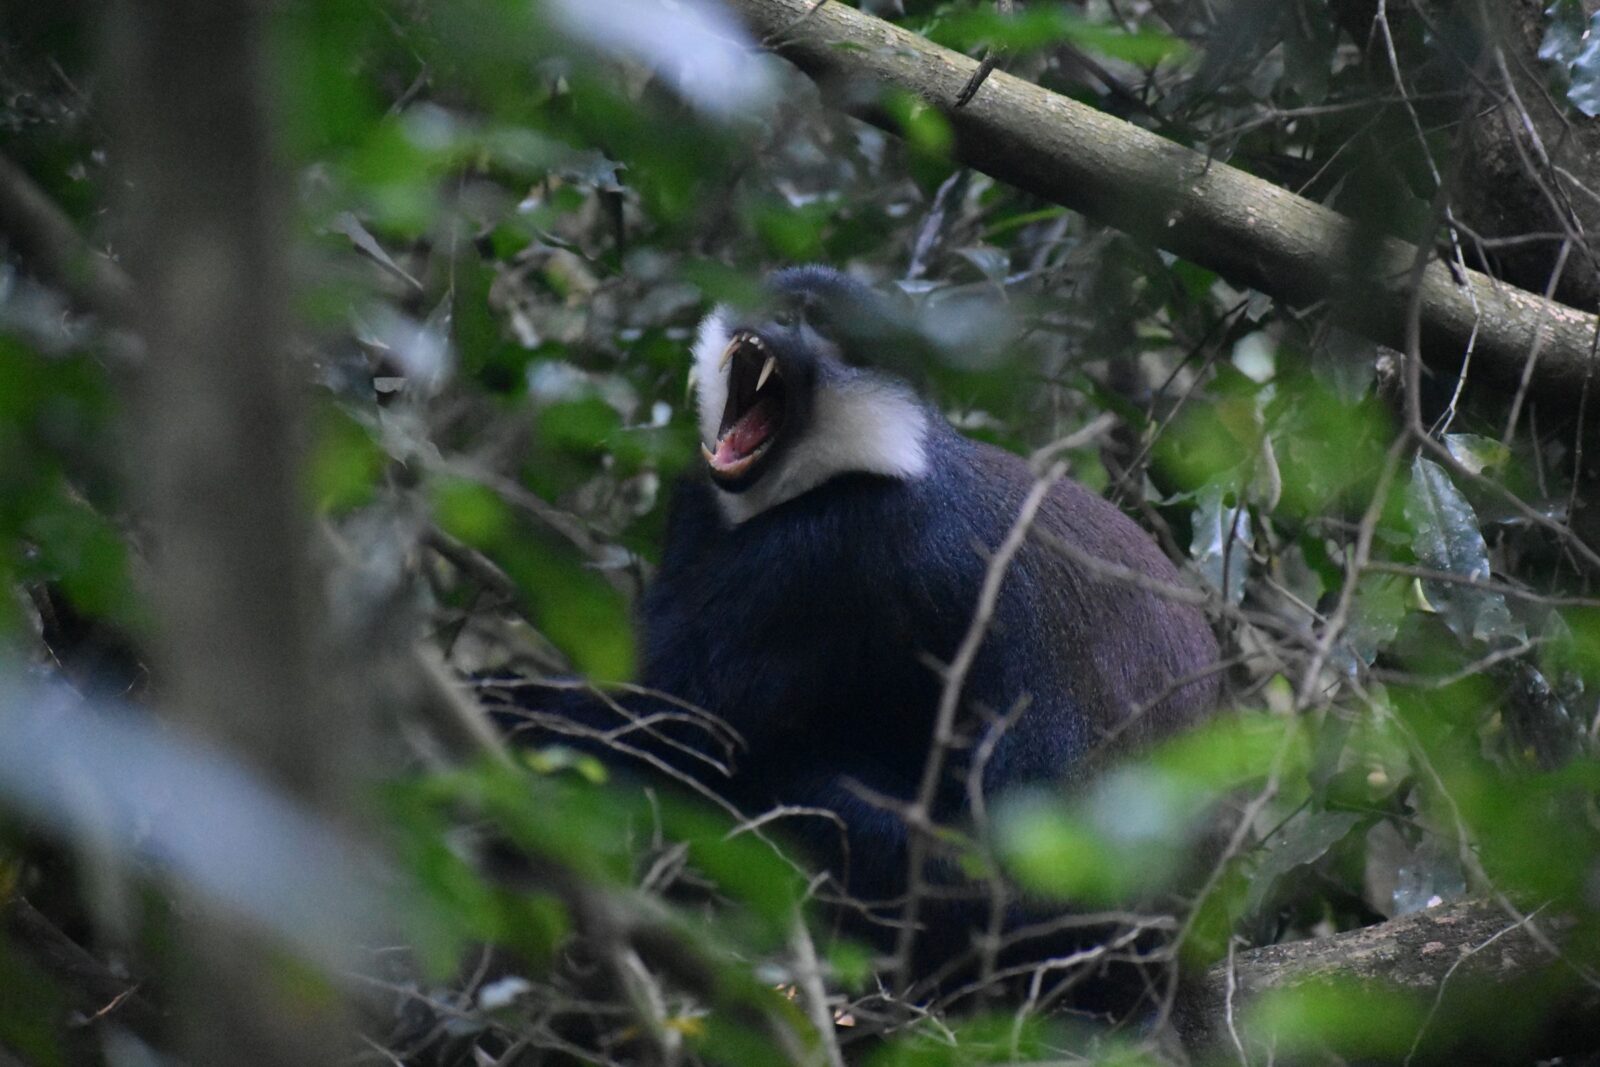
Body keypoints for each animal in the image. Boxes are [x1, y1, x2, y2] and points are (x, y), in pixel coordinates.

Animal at [489, 265, 1221, 988]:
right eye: (780, 303)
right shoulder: (701, 500)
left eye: (819, 322)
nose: (778, 322)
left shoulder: (831, 554)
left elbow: (662, 722)